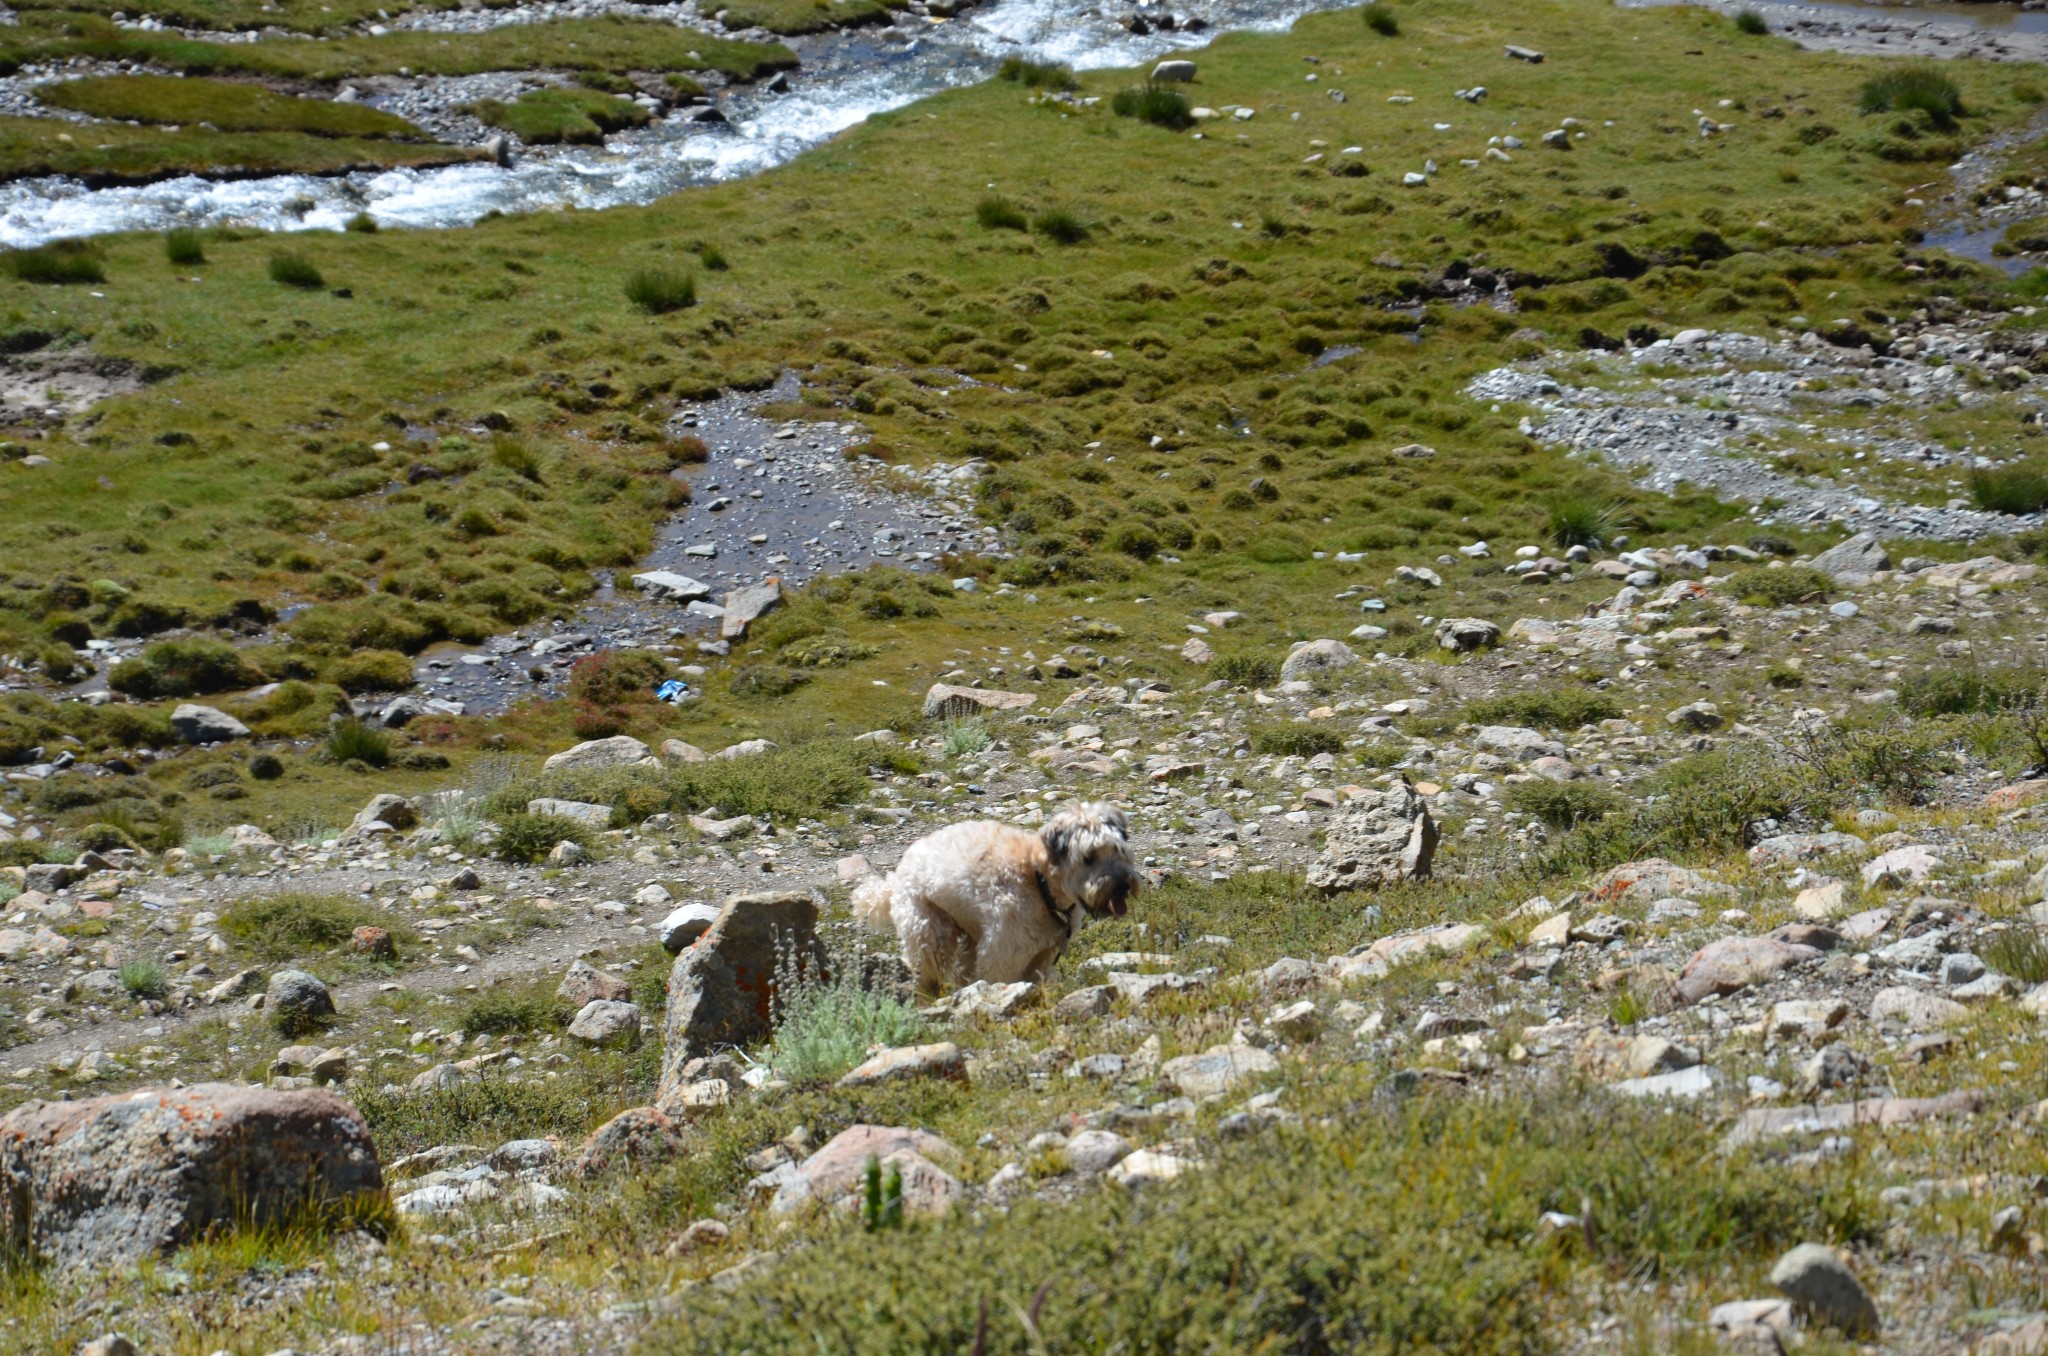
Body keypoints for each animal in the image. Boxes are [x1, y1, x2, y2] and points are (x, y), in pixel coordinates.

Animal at [847, 802, 1138, 995]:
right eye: (1088, 857)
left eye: (1118, 849)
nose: (1122, 887)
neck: (1038, 879)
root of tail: (897, 875)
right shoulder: (1003, 955)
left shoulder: (1044, 957)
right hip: (928, 929)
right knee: (925, 967)